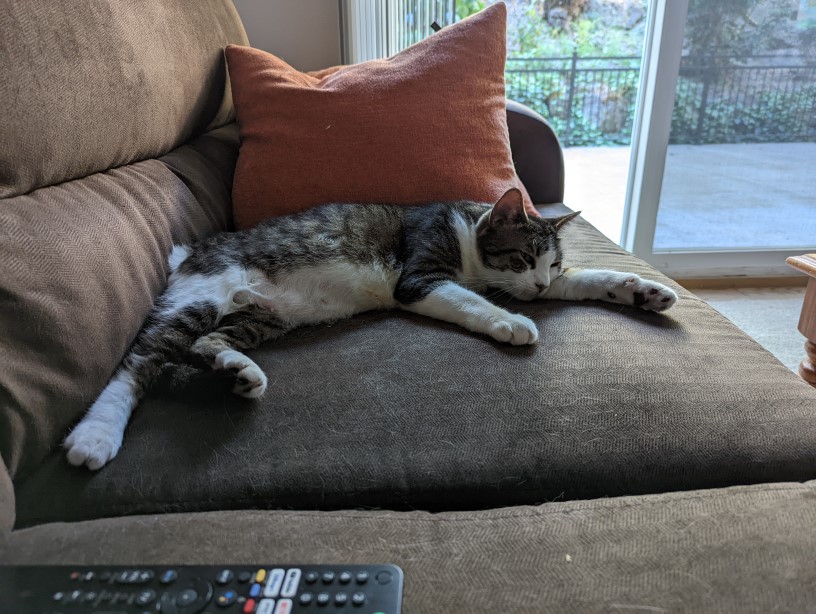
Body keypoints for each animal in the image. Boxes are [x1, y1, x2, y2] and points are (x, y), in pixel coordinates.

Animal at [64, 188, 677, 470]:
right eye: (525, 257)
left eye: (551, 262)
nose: (540, 282)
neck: (465, 229)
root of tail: (190, 252)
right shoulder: (420, 278)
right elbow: (470, 301)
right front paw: (511, 321)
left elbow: (586, 279)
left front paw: (639, 289)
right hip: (202, 296)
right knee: (141, 359)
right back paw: (95, 435)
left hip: (260, 317)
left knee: (205, 343)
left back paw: (238, 370)